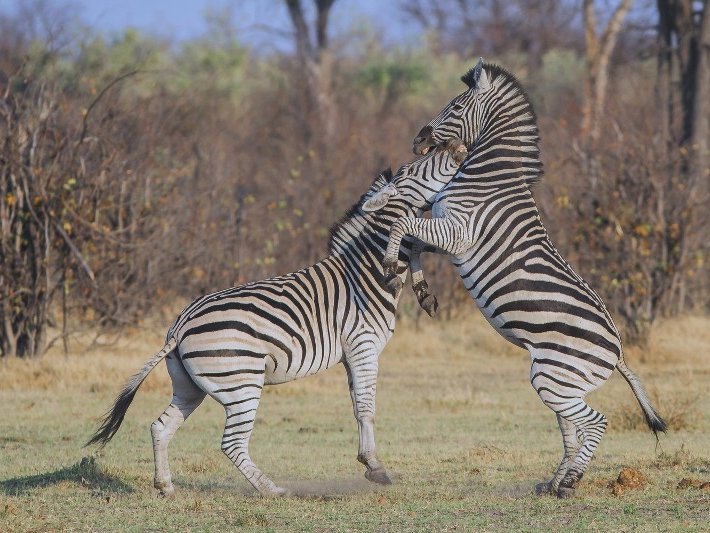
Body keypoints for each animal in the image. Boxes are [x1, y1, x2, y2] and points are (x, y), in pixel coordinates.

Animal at [86, 139, 470, 496]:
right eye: (414, 169)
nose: (456, 147)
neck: (366, 273)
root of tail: (179, 327)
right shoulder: (363, 346)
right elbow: (367, 406)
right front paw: (376, 469)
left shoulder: (350, 354)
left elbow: (355, 405)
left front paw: (367, 461)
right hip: (241, 383)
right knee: (231, 443)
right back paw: (273, 490)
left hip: (189, 386)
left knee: (161, 426)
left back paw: (165, 486)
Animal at [368, 60, 668, 496]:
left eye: (456, 105)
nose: (417, 139)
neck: (488, 176)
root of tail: (618, 352)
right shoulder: (450, 236)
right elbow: (414, 242)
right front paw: (422, 292)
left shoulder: (459, 232)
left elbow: (403, 225)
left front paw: (391, 266)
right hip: (560, 378)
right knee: (572, 429)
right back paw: (553, 482)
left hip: (552, 377)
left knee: (595, 422)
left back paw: (569, 484)